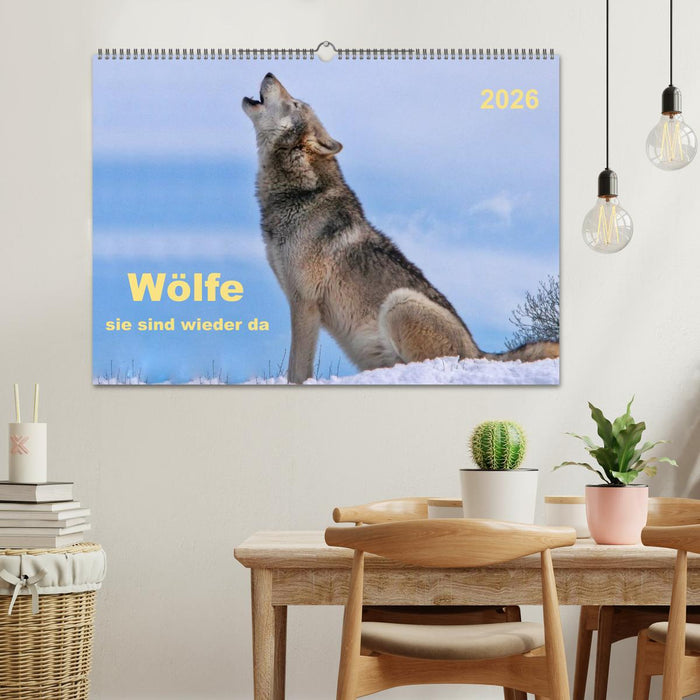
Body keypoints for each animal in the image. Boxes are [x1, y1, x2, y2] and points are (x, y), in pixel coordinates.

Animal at [242, 73, 558, 384]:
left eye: (295, 103)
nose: (269, 73)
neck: (300, 192)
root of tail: (479, 352)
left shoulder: (305, 302)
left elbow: (297, 370)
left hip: (399, 302)